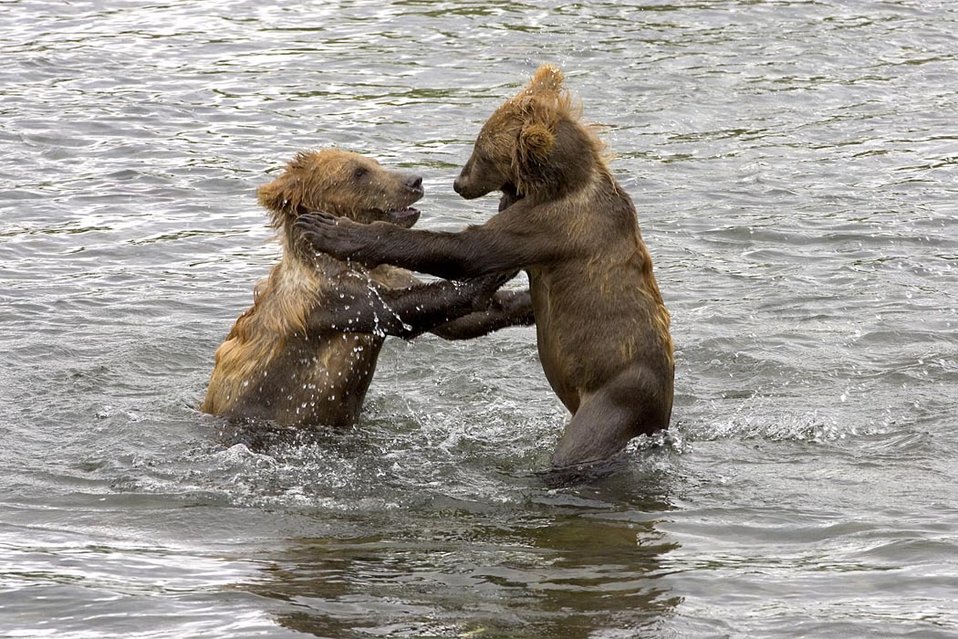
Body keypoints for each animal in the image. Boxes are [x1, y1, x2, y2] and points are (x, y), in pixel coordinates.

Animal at [202, 150, 532, 430]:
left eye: (374, 163)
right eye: (359, 172)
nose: (415, 180)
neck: (352, 265)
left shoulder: (389, 276)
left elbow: (458, 323)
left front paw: (524, 301)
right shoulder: (329, 299)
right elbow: (400, 311)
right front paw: (492, 273)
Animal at [296, 69, 680, 470]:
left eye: (482, 152)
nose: (457, 183)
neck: (558, 184)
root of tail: (661, 419)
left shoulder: (553, 225)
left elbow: (469, 250)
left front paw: (332, 230)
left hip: (618, 396)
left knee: (582, 444)